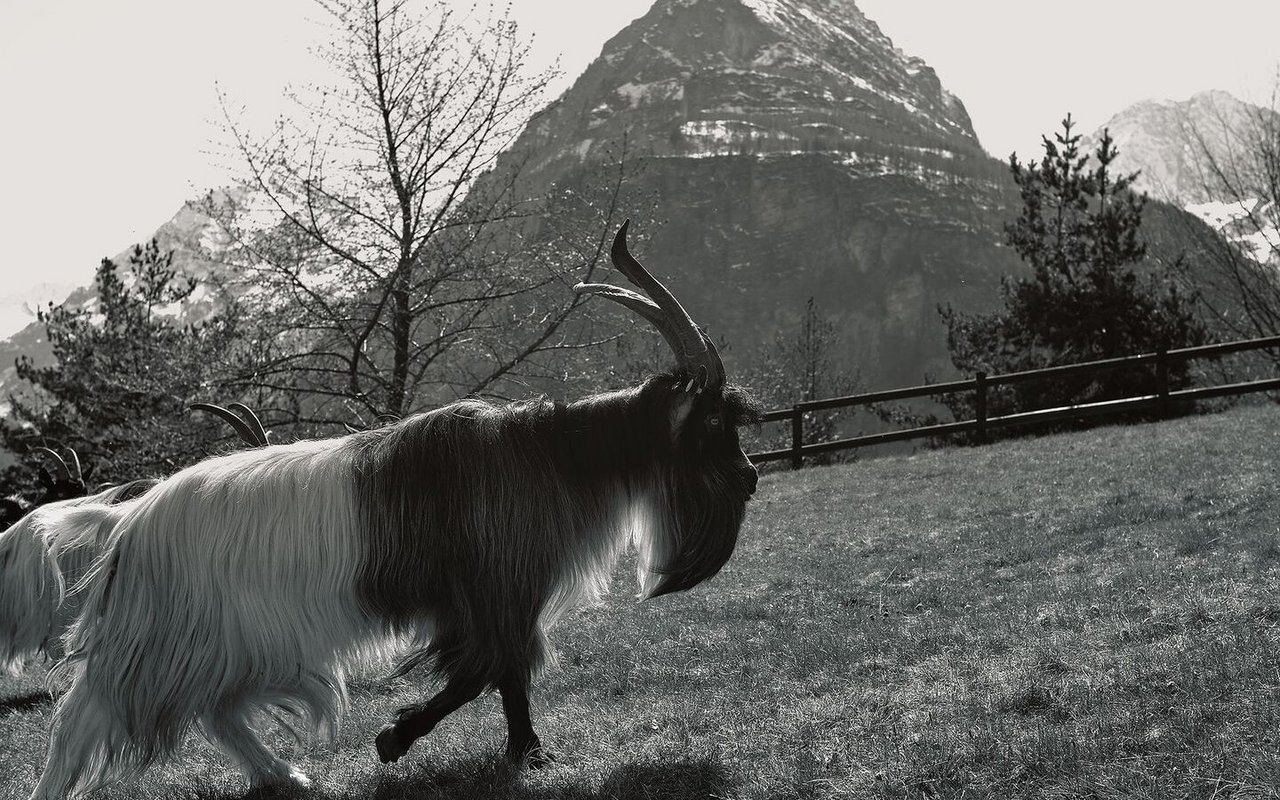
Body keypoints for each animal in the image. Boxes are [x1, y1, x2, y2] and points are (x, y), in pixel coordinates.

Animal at [27, 220, 757, 798]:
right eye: (713, 421)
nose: (750, 478)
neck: (541, 457)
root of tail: (131, 520)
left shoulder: (494, 593)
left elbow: (506, 675)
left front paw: (525, 751)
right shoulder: (495, 589)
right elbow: (486, 670)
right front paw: (397, 738)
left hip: (221, 646)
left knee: (218, 713)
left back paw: (286, 776)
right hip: (159, 644)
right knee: (79, 718)